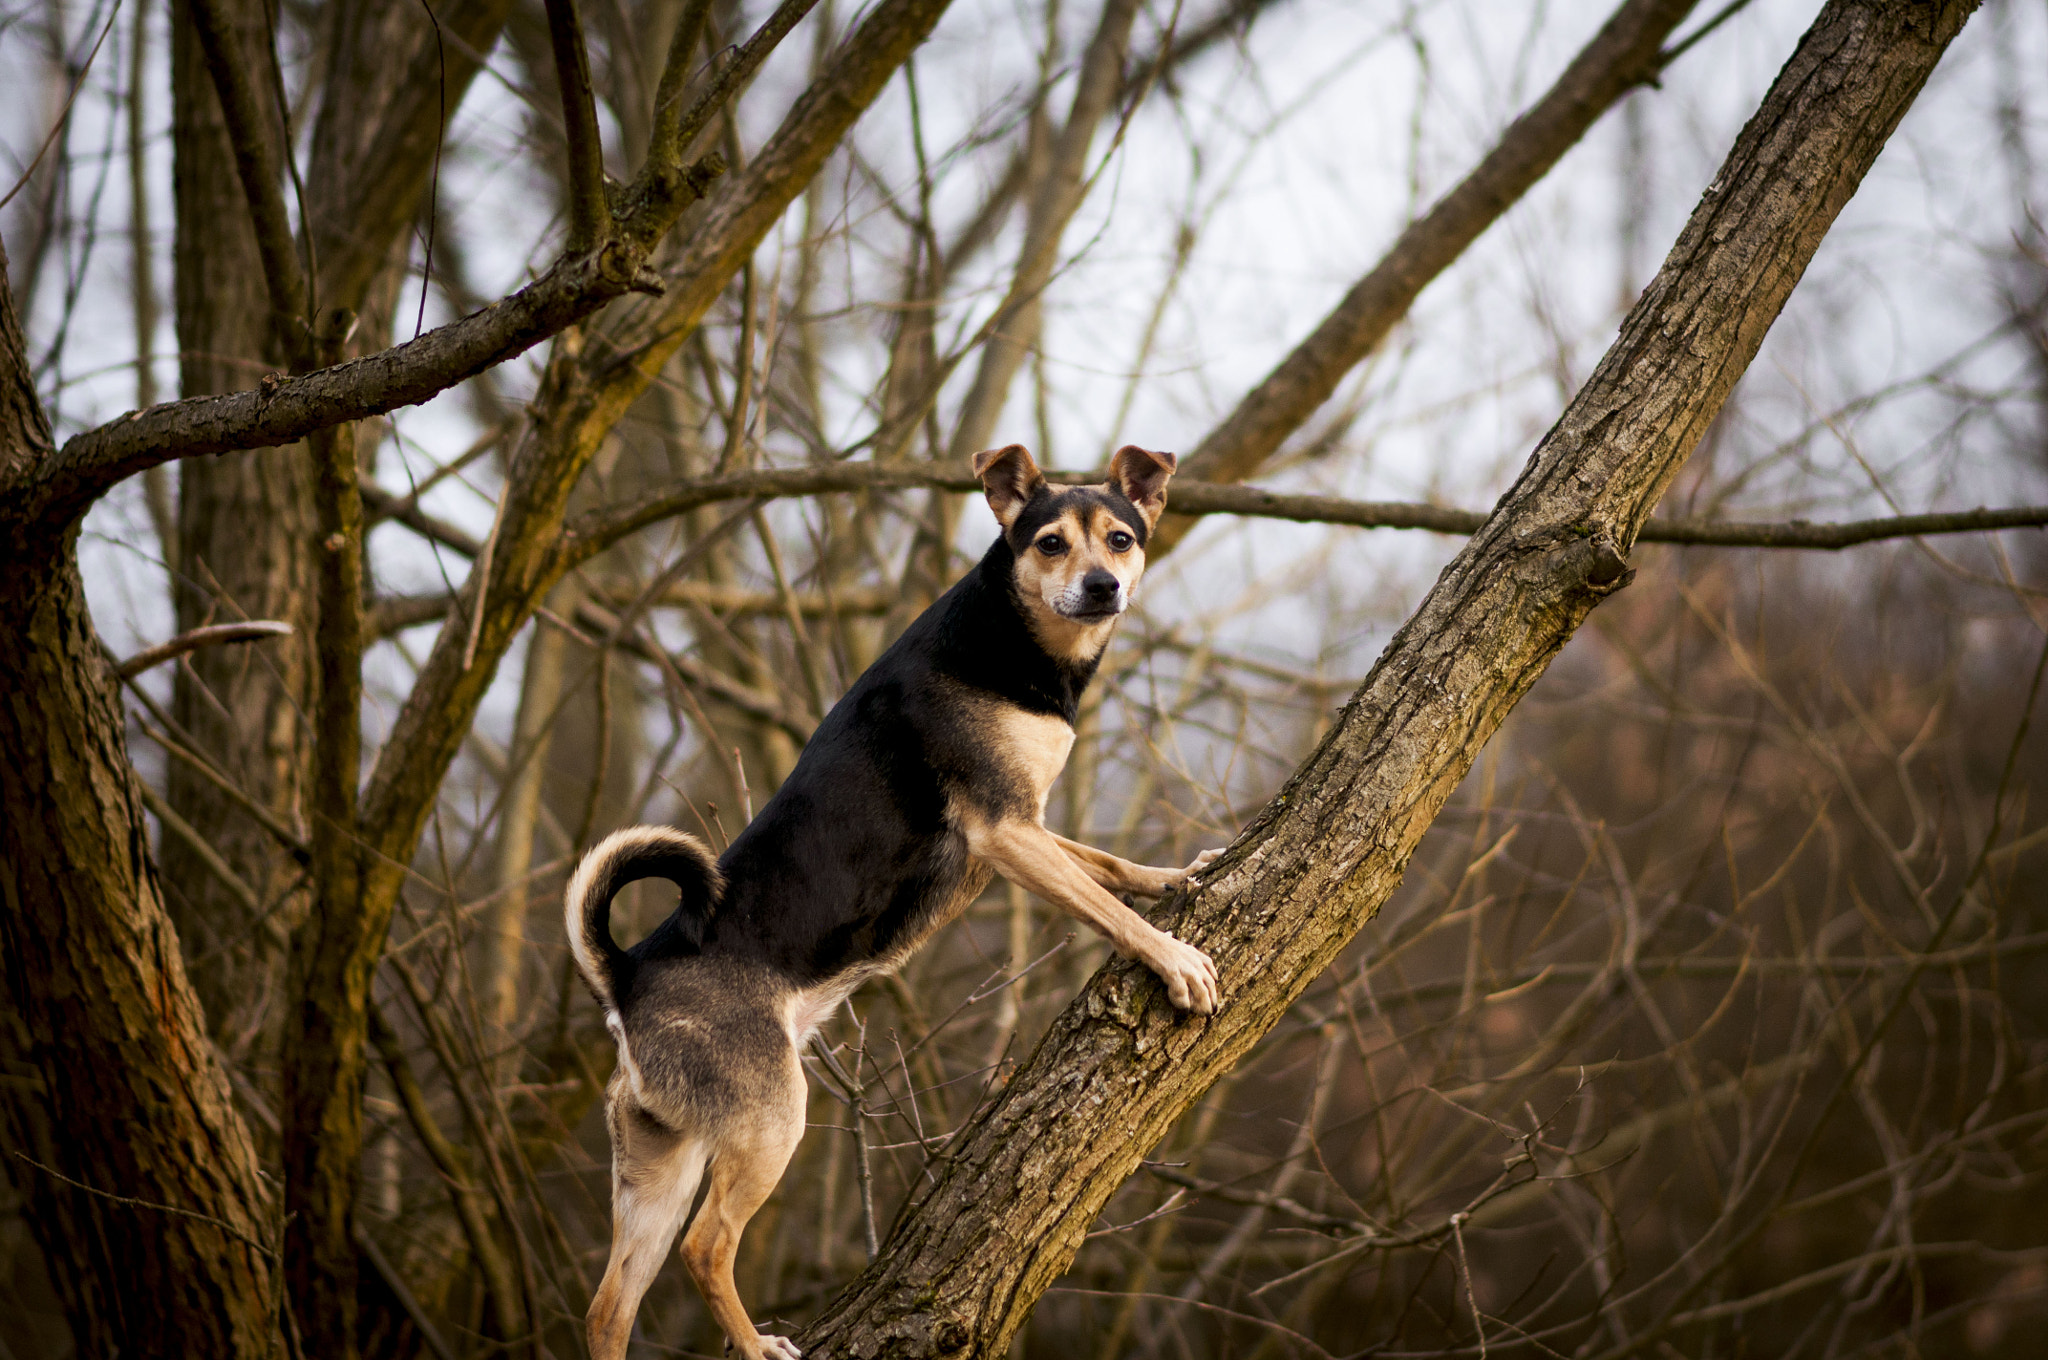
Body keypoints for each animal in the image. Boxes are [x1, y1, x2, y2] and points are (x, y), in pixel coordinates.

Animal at [565, 446, 1212, 1360]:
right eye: (1049, 543)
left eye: (1121, 539)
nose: (1101, 586)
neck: (1009, 640)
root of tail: (625, 978)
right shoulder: (1004, 832)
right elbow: (1102, 905)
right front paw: (1174, 957)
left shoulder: (1030, 826)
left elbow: (1108, 866)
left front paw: (1177, 877)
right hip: (771, 1125)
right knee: (706, 1248)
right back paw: (759, 1346)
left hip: (663, 1156)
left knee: (608, 1308)